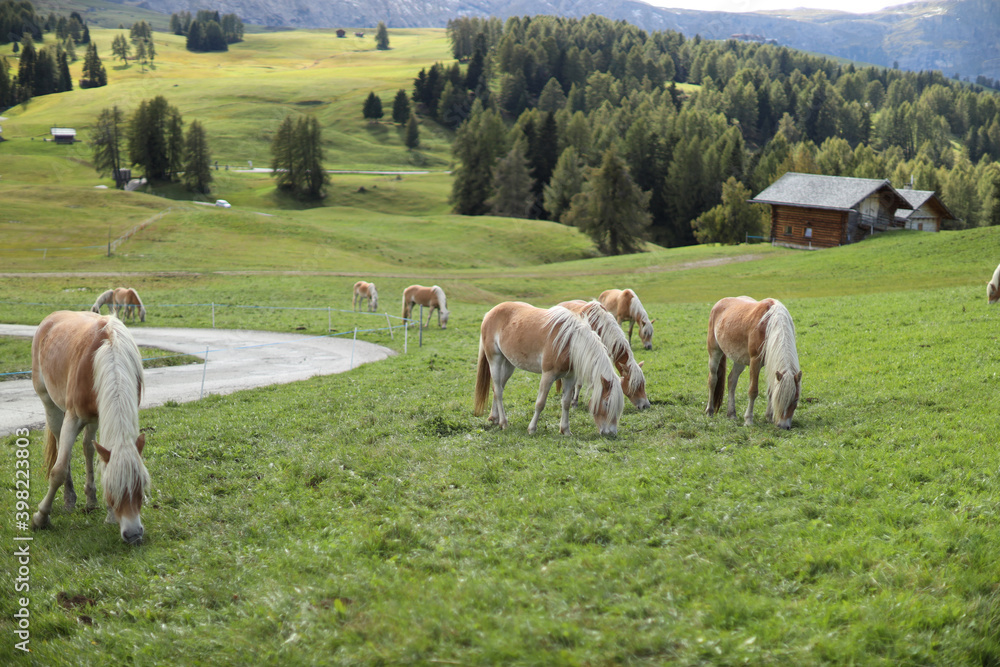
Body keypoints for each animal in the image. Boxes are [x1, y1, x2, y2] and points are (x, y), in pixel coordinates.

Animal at [31, 311, 150, 544]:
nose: (133, 534)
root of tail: (50, 318)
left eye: (140, 486)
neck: (110, 353)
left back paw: (90, 499)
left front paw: (110, 516)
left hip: (94, 418)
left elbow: (102, 459)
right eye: (112, 489)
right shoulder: (72, 418)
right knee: (61, 446)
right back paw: (69, 500)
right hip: (50, 404)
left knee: (88, 447)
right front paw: (41, 517)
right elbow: (58, 470)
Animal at [474, 302, 624, 436]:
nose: (611, 433)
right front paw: (532, 429)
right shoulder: (548, 375)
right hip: (495, 359)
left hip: (509, 364)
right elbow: (540, 403)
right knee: (498, 390)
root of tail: (490, 313)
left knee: (498, 387)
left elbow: (566, 403)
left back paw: (494, 418)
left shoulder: (570, 377)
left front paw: (565, 430)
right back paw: (503, 423)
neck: (570, 342)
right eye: (606, 404)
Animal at [705, 296, 802, 430]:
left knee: (732, 380)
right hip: (714, 351)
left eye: (796, 400)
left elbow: (770, 390)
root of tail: (719, 303)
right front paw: (748, 420)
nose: (784, 426)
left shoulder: (770, 364)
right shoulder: (755, 361)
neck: (769, 324)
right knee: (712, 380)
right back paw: (709, 411)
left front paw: (769, 417)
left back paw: (731, 414)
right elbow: (753, 391)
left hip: (739, 359)